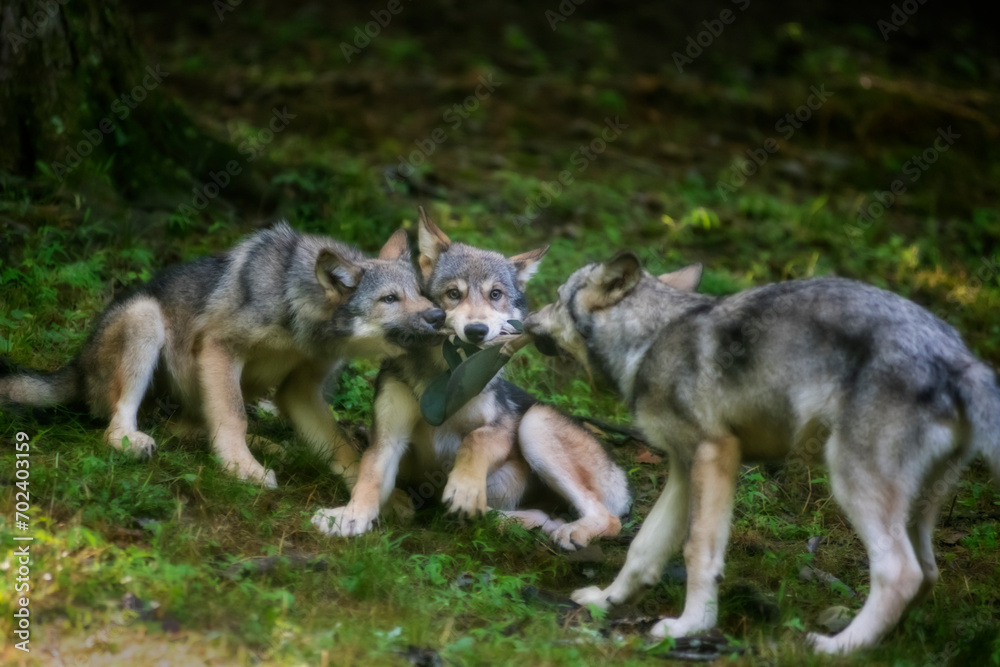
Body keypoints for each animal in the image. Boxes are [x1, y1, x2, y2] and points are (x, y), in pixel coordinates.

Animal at [0, 223, 445, 489]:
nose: (439, 316)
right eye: (390, 299)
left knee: (187, 427)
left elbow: (341, 444)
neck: (296, 310)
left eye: (421, 294)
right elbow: (233, 417)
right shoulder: (219, 348)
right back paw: (132, 441)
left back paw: (272, 446)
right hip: (146, 318)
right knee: (121, 423)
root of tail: (75, 366)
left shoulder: (300, 390)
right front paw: (241, 469)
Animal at [311, 210, 630, 549]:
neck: (447, 379)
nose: (476, 330)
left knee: (609, 518)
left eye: (495, 294)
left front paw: (464, 488)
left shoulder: (502, 429)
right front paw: (348, 517)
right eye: (454, 293)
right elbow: (368, 480)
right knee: (539, 517)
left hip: (534, 424)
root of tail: (620, 476)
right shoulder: (388, 439)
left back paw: (571, 532)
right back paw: (517, 522)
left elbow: (474, 441)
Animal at [524, 251, 1000, 654]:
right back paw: (883, 645)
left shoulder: (714, 455)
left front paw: (689, 627)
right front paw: (606, 601)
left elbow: (699, 550)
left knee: (901, 572)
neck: (651, 338)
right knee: (928, 573)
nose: (525, 320)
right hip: (917, 508)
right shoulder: (682, 468)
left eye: (556, 298)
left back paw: (838, 647)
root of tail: (963, 359)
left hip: (854, 485)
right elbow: (643, 547)